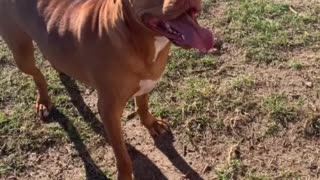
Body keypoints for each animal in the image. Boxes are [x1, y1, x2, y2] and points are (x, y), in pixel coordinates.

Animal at [0, 0, 216, 178]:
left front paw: (150, 123)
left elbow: (143, 104)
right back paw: (44, 101)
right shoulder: (109, 110)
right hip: (22, 54)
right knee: (37, 74)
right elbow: (122, 155)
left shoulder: (146, 82)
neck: (137, 39)